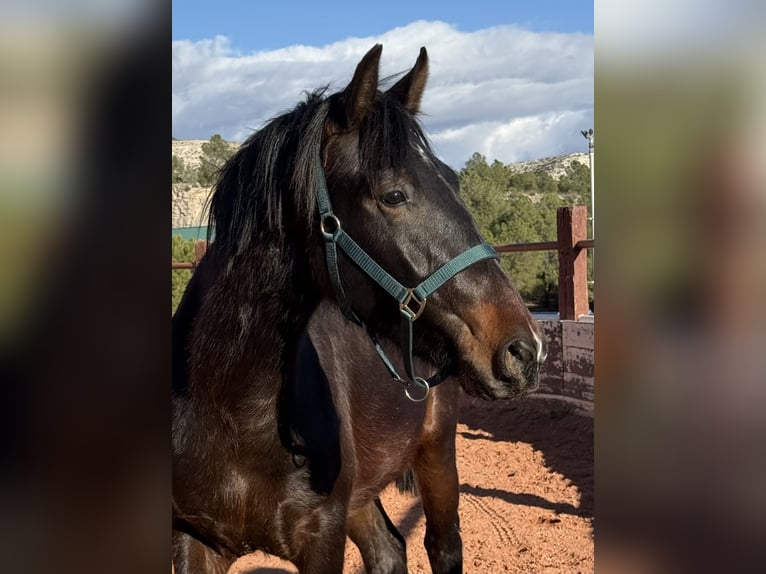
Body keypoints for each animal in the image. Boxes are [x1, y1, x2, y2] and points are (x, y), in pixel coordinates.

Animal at [174, 46, 544, 574]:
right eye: (393, 194)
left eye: (454, 181)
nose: (524, 350)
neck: (230, 409)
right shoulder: (194, 539)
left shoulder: (322, 538)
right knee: (388, 549)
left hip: (437, 454)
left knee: (441, 546)